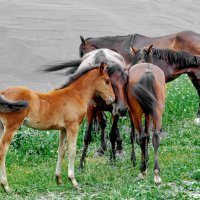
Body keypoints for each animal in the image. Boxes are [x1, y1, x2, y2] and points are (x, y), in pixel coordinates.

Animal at [0, 64, 114, 192]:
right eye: (107, 81)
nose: (112, 99)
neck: (76, 95)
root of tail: (3, 92)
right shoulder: (73, 127)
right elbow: (72, 151)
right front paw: (74, 181)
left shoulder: (63, 129)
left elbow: (61, 151)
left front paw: (58, 179)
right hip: (12, 126)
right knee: (2, 151)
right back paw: (6, 186)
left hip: (2, 126)